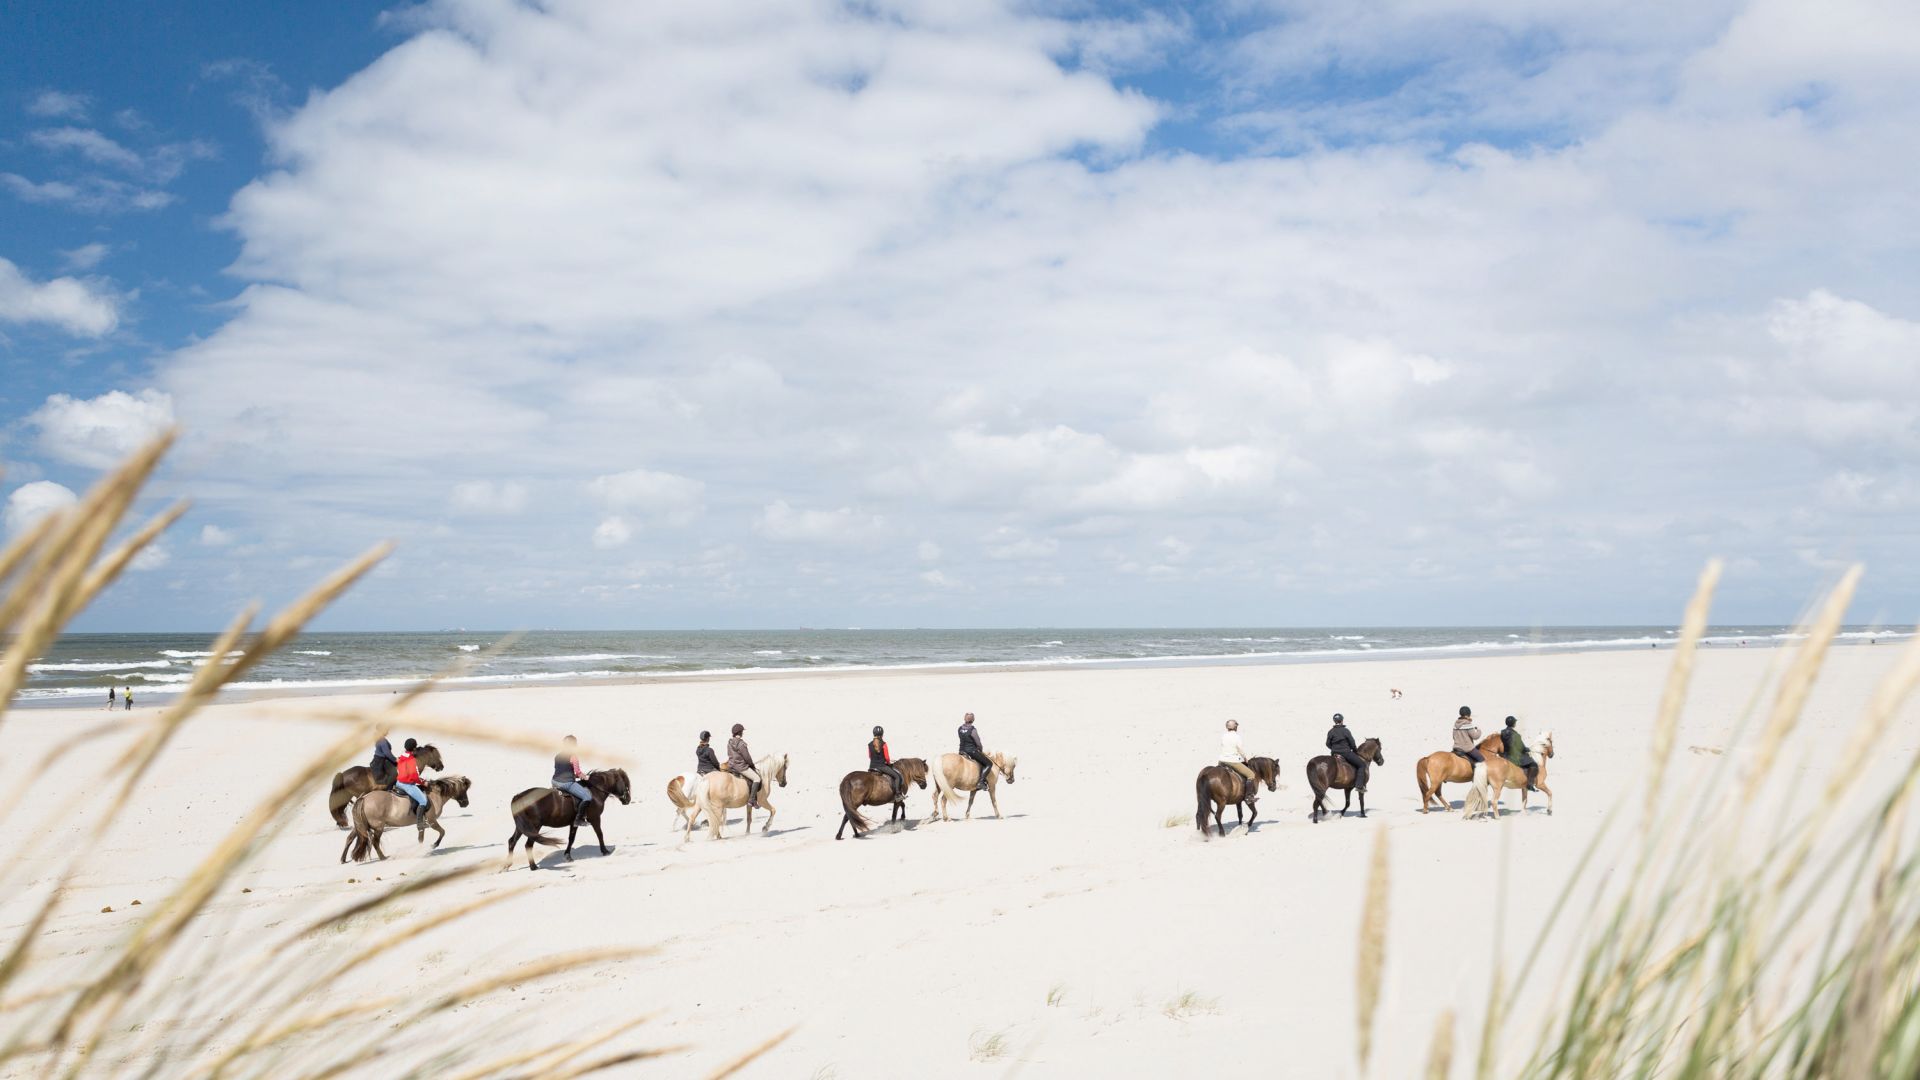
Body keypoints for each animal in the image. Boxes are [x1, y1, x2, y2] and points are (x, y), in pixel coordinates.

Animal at [341, 772, 472, 857]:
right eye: (464, 789)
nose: (466, 803)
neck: (434, 795)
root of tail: (364, 798)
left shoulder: (422, 823)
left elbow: (421, 837)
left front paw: (421, 849)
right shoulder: (432, 821)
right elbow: (442, 832)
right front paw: (434, 845)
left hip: (362, 825)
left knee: (353, 838)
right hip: (378, 827)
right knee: (375, 842)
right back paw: (383, 858)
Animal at [1413, 726, 1559, 810]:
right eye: (1551, 742)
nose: (1552, 754)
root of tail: (1429, 757)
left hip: (1439, 781)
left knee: (1437, 793)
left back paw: (1448, 808)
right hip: (1436, 781)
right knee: (1428, 794)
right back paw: (1426, 810)